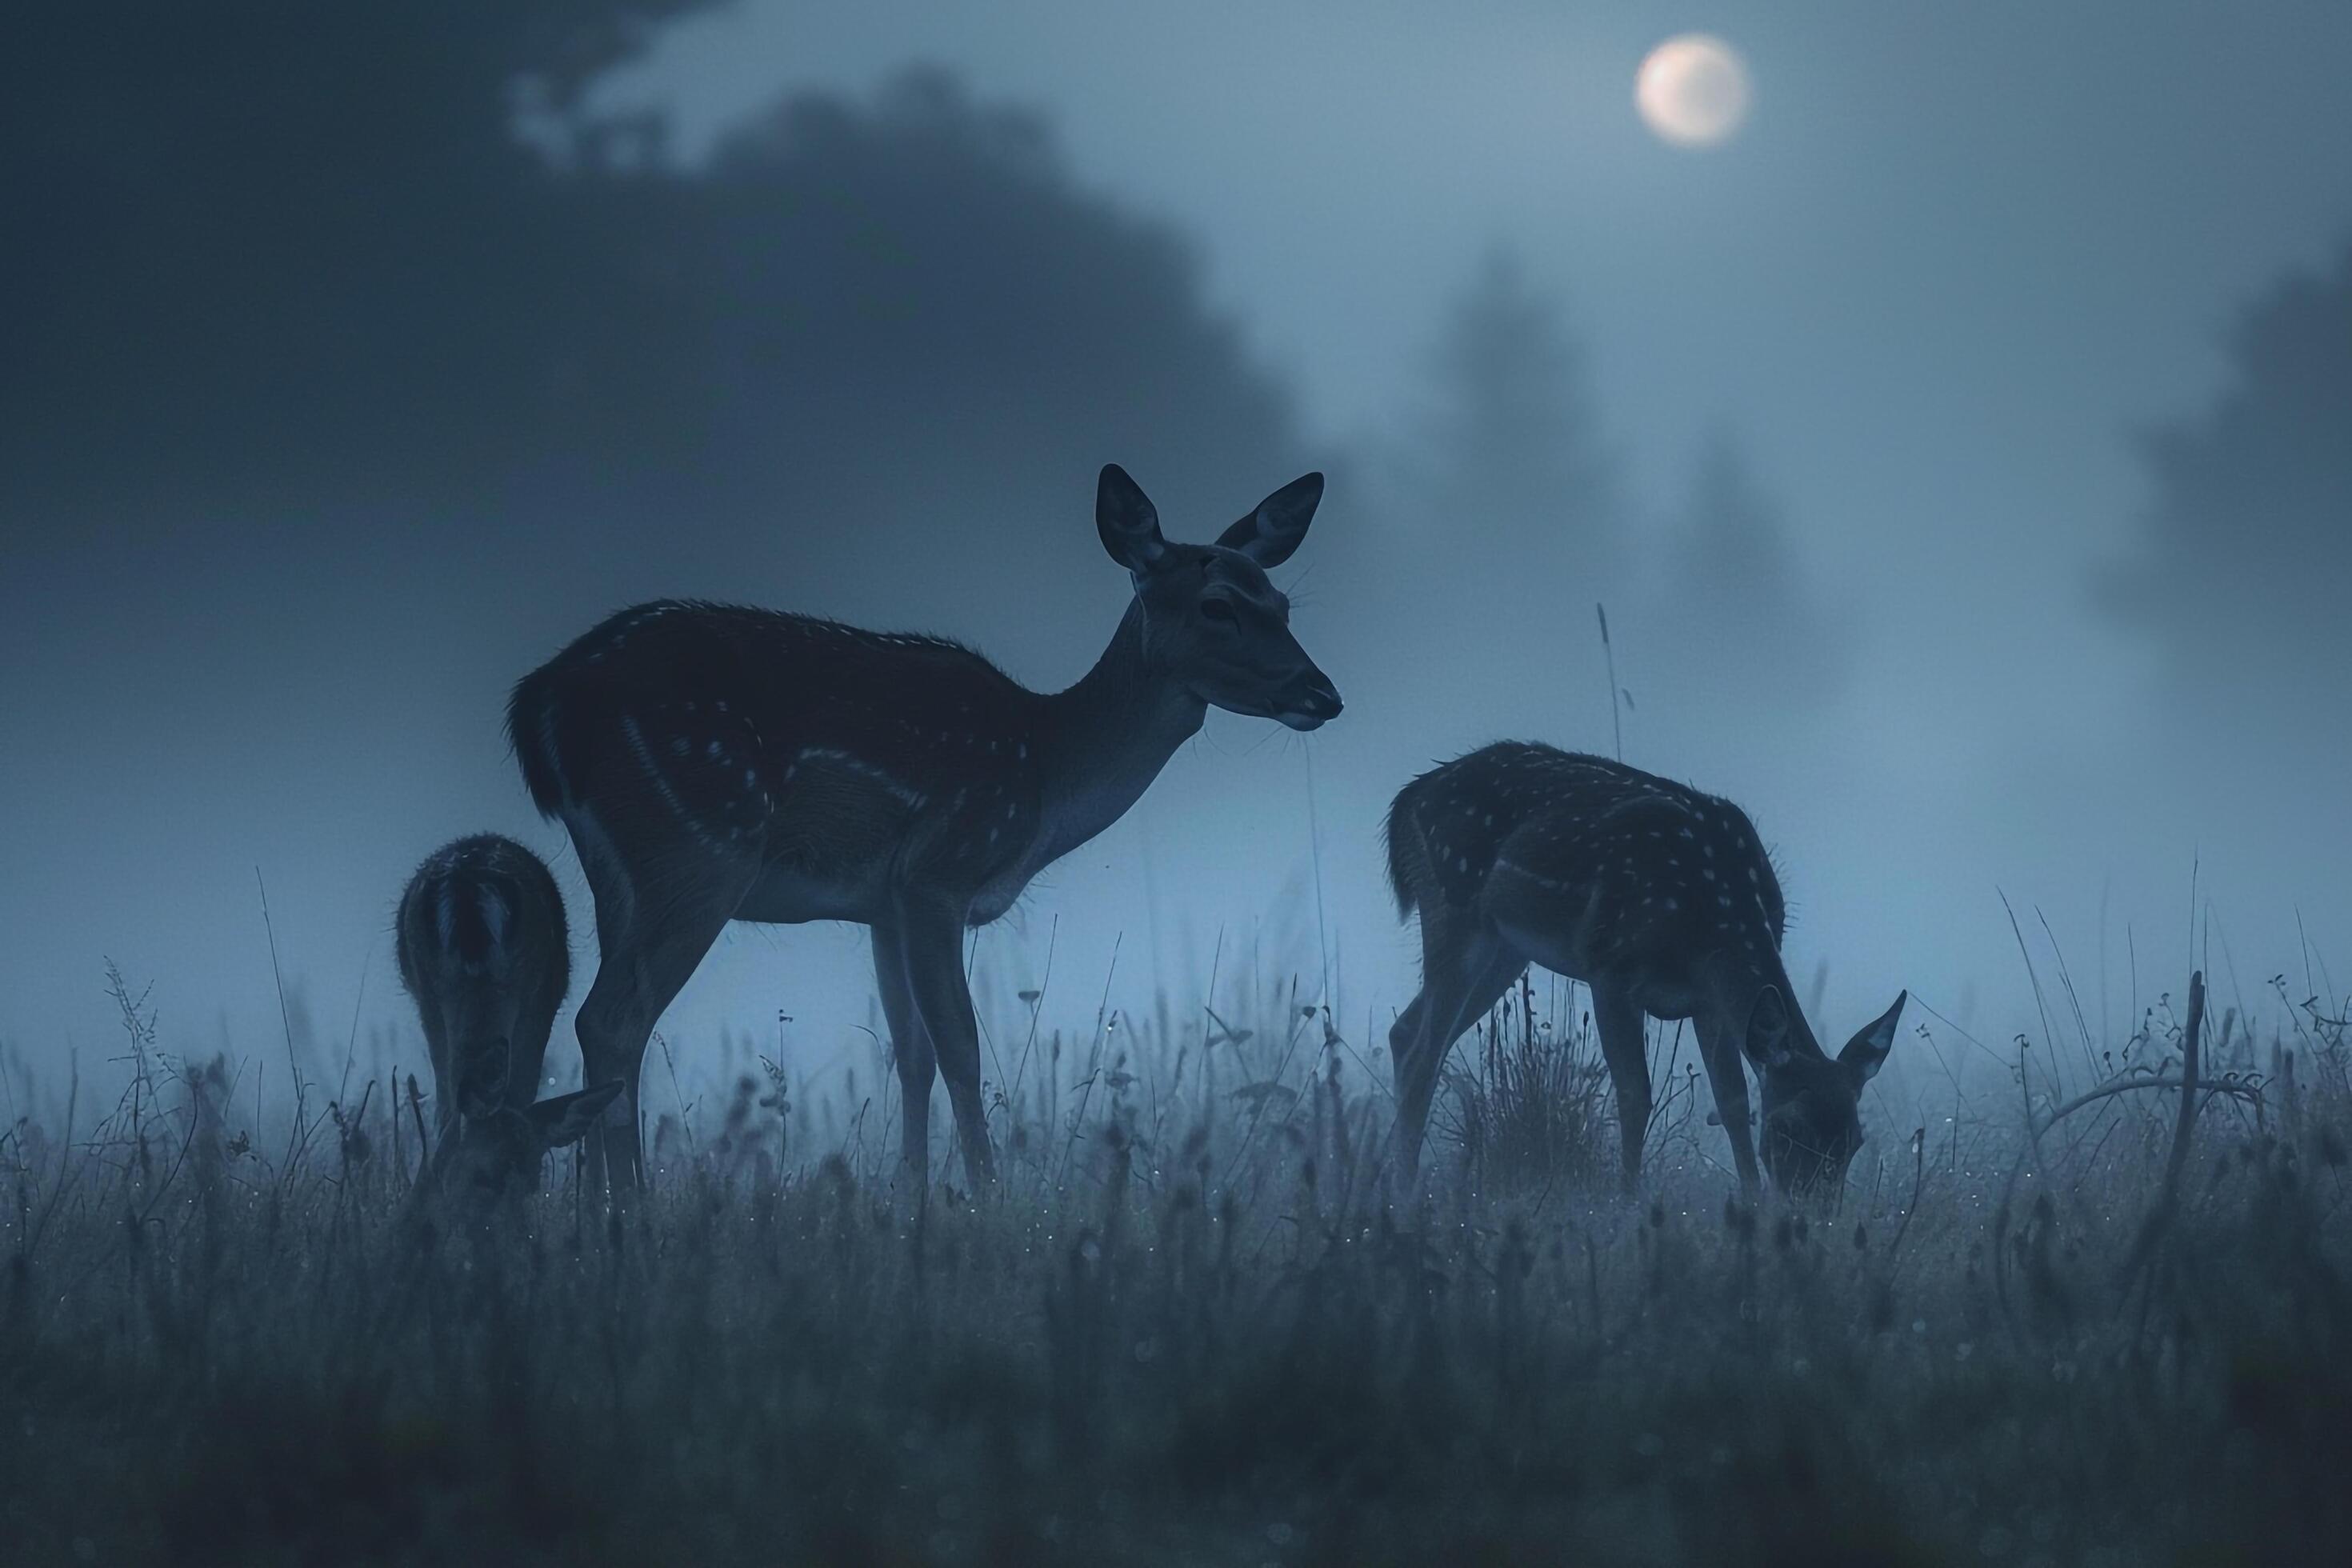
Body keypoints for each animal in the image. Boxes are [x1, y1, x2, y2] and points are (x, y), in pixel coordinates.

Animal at [506, 460, 1335, 1194]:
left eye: (1284, 605)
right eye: (1218, 603)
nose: (1322, 693)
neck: (1044, 775)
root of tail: (543, 701)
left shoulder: (882, 906)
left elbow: (911, 1054)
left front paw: (912, 1201)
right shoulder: (941, 872)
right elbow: (961, 1045)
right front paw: (989, 1200)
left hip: (620, 874)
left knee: (605, 1029)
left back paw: (594, 1212)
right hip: (700, 846)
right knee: (613, 1020)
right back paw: (631, 1215)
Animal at [1373, 742, 1910, 1194]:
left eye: (1855, 1140)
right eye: (1785, 1127)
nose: (1811, 1214)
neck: (1713, 920)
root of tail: (1408, 798)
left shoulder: (1707, 1001)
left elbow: (1733, 1103)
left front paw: (1752, 1206)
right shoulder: (1611, 967)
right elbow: (1636, 1096)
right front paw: (1627, 1205)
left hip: (1505, 948)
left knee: (1405, 1033)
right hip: (1453, 907)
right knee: (1423, 1053)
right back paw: (1404, 1193)